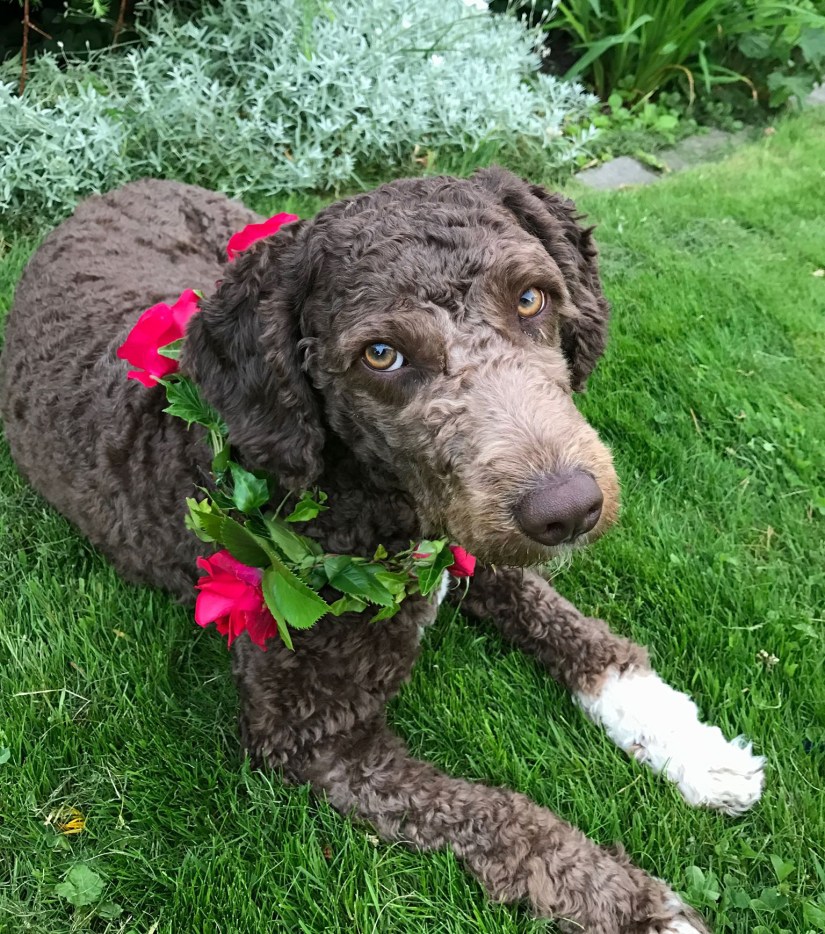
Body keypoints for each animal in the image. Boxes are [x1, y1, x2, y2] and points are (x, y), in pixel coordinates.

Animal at [0, 171, 764, 933]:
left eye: (530, 298)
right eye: (380, 354)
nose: (568, 510)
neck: (371, 503)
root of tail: (116, 189)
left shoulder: (469, 543)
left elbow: (581, 635)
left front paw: (692, 747)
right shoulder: (310, 733)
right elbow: (504, 819)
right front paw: (637, 907)